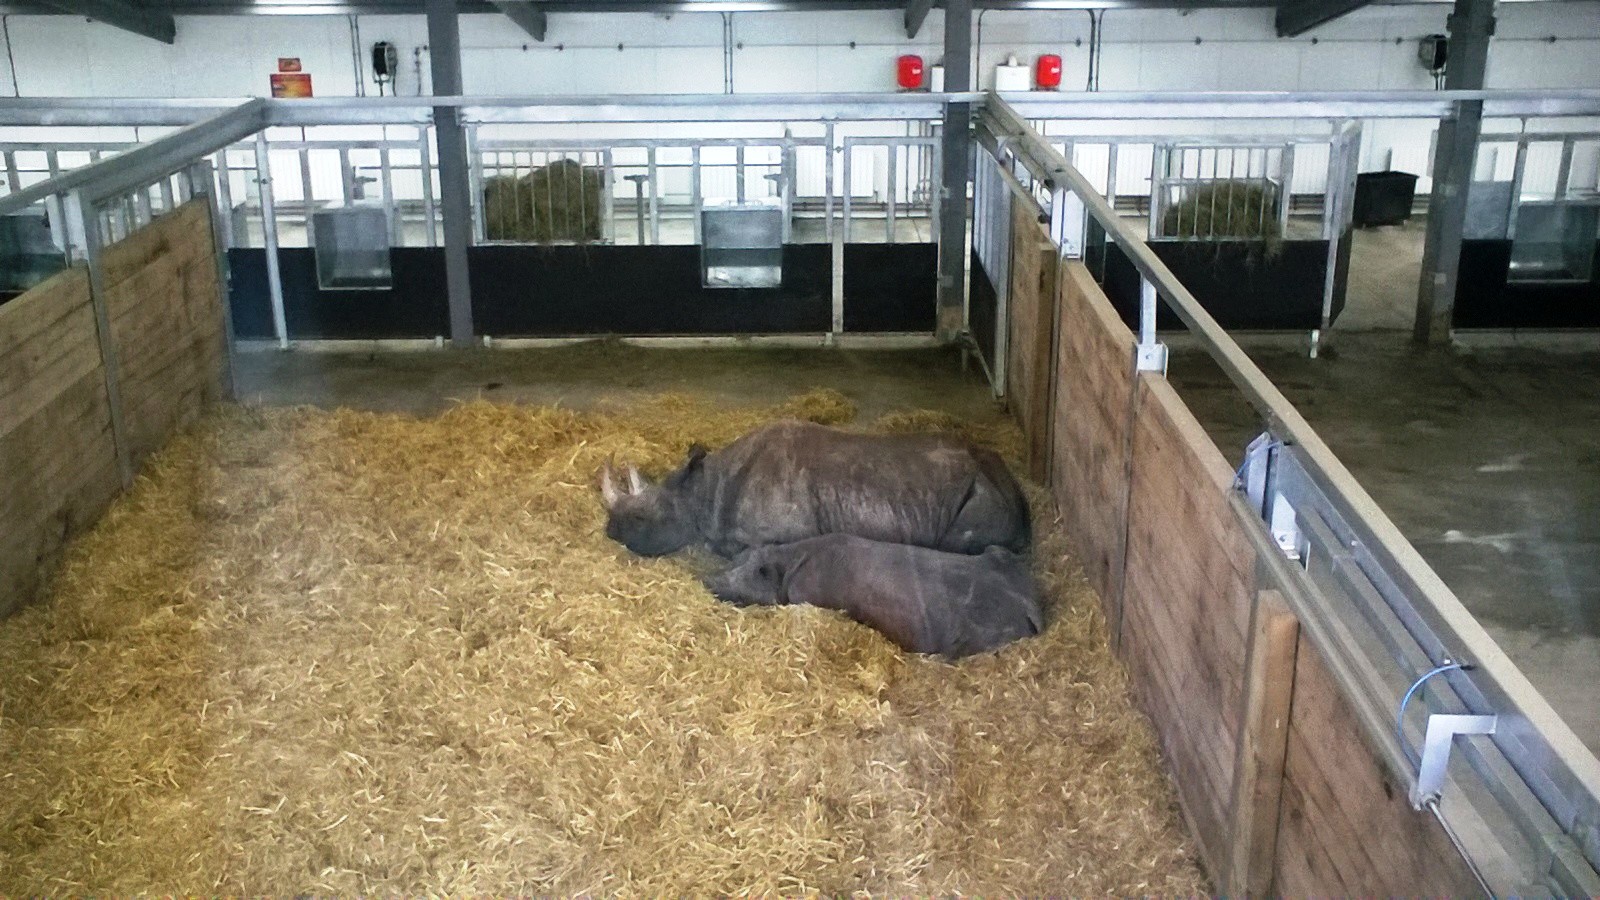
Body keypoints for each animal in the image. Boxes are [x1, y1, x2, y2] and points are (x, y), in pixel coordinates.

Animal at [704, 534, 1044, 659]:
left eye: (748, 577)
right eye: (733, 562)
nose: (708, 578)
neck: (786, 564)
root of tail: (1031, 602)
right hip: (998, 556)